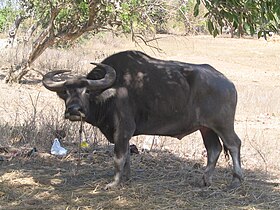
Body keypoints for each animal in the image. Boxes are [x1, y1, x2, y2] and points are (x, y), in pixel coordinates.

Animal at [43, 50, 243, 189]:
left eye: (86, 91)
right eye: (66, 92)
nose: (73, 110)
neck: (110, 92)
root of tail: (228, 83)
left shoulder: (123, 129)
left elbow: (118, 156)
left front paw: (113, 183)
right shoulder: (123, 135)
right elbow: (126, 157)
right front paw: (126, 178)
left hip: (222, 124)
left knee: (233, 144)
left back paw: (236, 179)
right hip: (205, 128)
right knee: (214, 149)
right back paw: (205, 179)